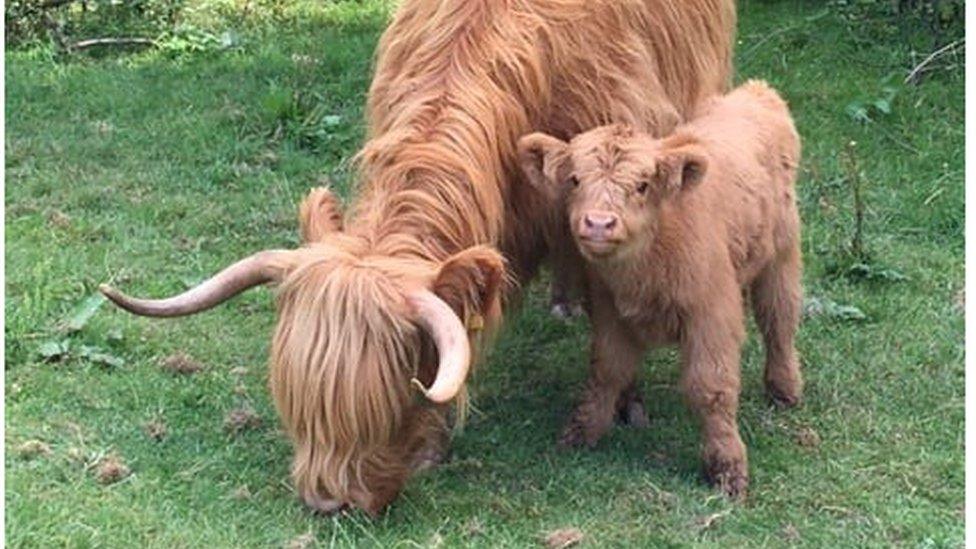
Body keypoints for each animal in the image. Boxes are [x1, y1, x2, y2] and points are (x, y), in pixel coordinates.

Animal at [520, 80, 800, 496]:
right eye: (575, 180)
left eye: (642, 185)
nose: (599, 223)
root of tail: (757, 92)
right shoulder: (609, 312)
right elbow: (607, 370)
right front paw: (582, 431)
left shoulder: (711, 315)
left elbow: (710, 387)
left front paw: (727, 469)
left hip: (782, 253)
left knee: (779, 317)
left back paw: (785, 390)